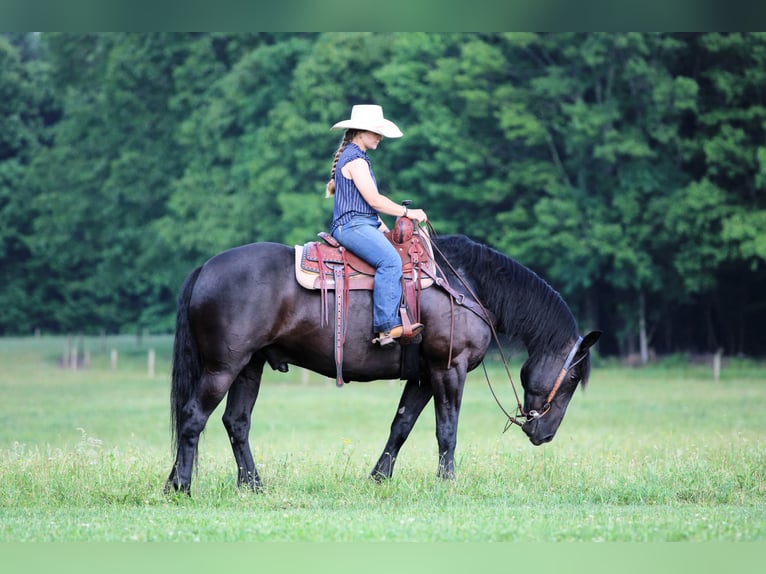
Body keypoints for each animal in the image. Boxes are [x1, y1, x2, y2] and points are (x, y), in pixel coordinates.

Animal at [165, 233, 601, 494]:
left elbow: (401, 426)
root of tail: (206, 268)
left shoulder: (423, 377)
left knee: (236, 423)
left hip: (249, 367)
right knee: (193, 418)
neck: (464, 286)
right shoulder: (449, 369)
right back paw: (181, 485)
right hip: (223, 368)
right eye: (573, 377)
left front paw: (378, 478)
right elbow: (447, 429)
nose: (545, 434)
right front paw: (447, 481)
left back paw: (252, 484)